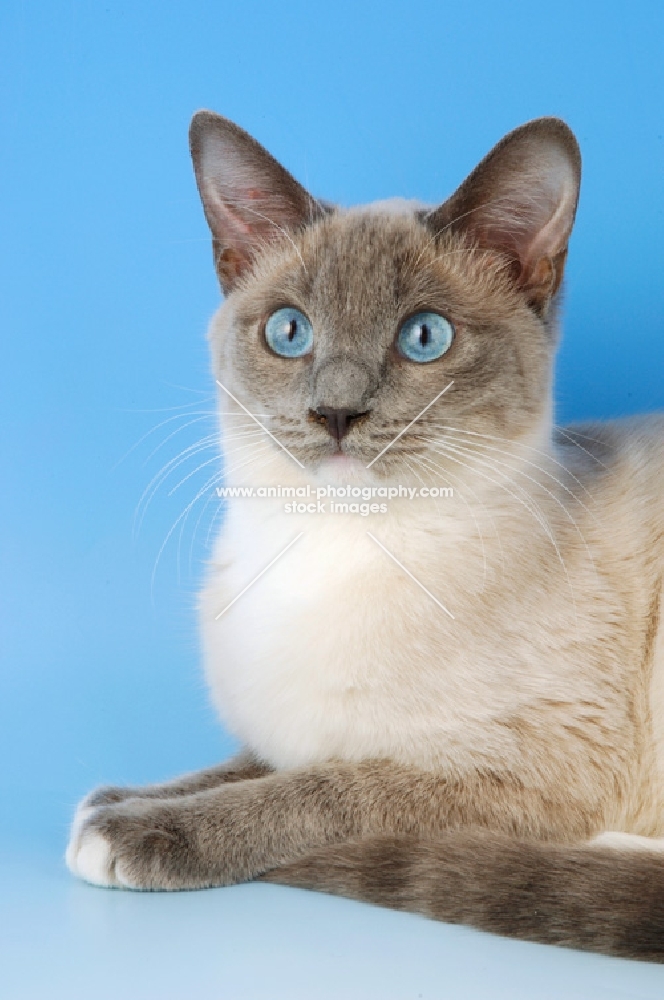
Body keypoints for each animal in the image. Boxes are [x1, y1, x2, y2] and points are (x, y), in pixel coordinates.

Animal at [63, 109, 664, 960]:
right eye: (289, 332)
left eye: (424, 337)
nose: (336, 412)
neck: (327, 551)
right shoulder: (286, 732)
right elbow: (244, 766)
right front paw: (117, 802)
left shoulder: (526, 775)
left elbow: (319, 788)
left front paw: (139, 834)